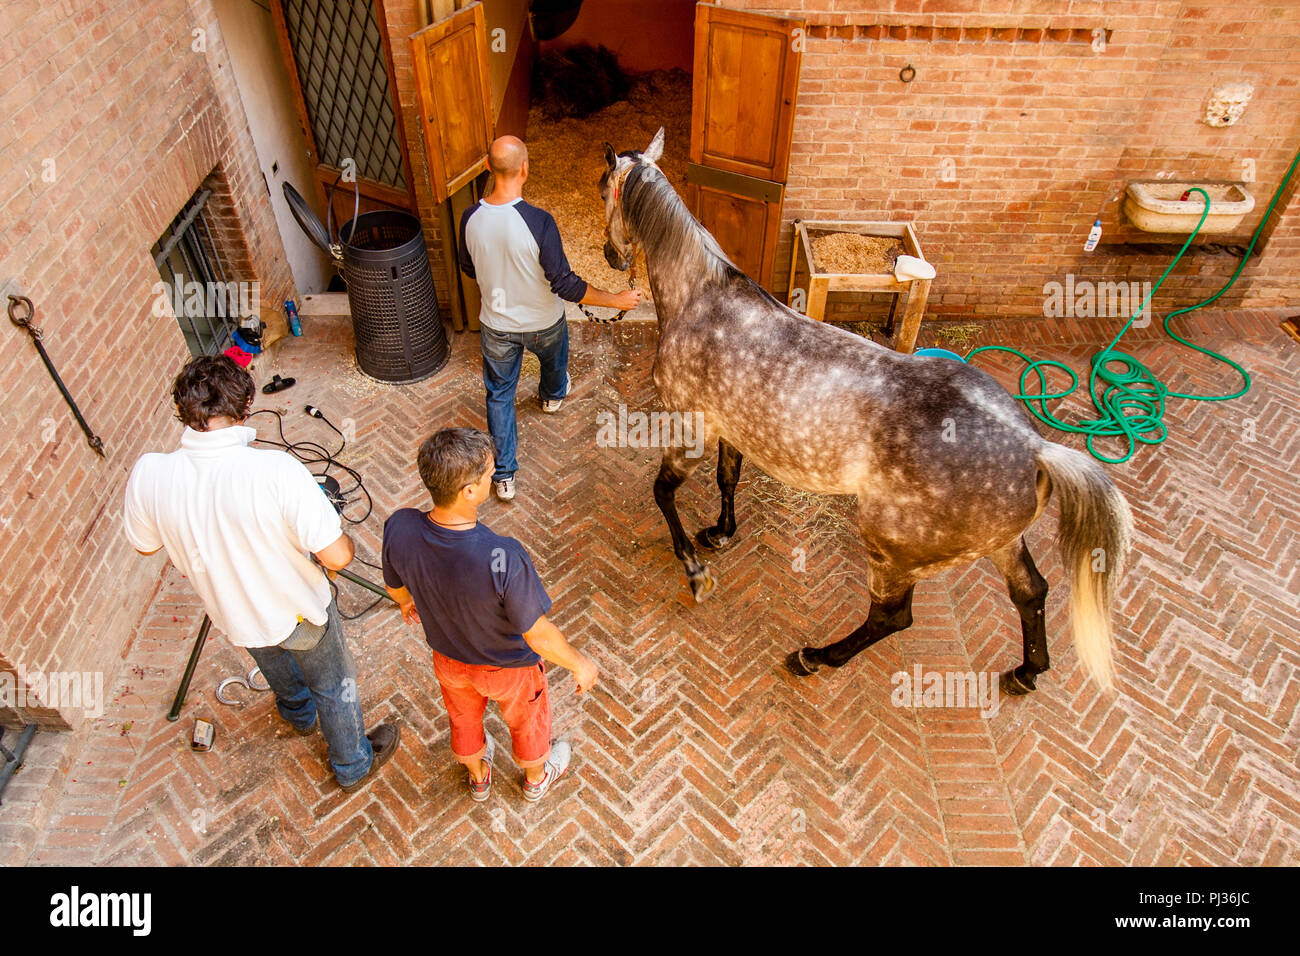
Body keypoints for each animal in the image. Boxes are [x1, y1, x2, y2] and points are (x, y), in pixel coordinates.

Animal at [597, 128, 1134, 695]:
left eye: (601, 188)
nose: (609, 255)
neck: (703, 300)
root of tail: (1034, 447)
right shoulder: (728, 431)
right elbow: (728, 478)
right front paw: (720, 533)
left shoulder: (689, 430)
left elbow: (663, 492)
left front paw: (695, 570)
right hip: (1003, 544)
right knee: (1031, 591)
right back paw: (1026, 673)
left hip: (892, 552)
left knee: (891, 616)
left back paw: (814, 656)